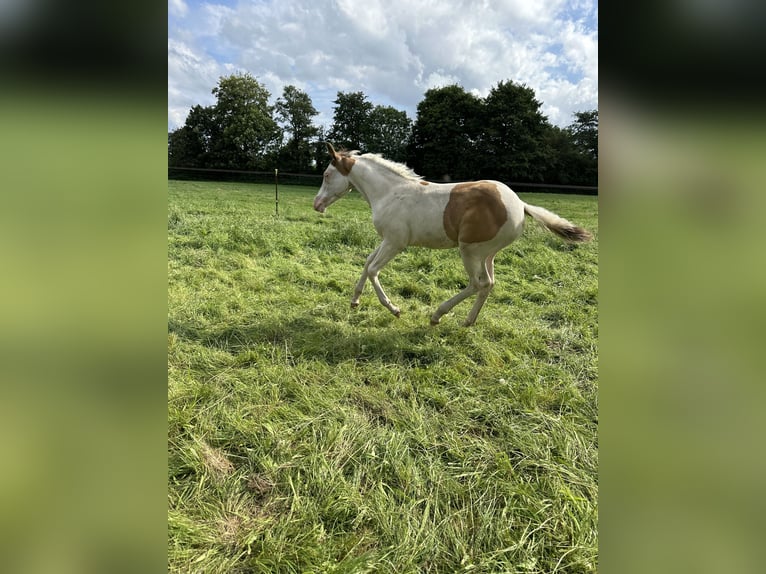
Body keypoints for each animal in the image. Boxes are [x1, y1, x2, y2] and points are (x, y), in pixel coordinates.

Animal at [312, 144, 592, 328]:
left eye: (326, 175)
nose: (317, 204)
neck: (390, 193)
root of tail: (520, 204)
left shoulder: (395, 243)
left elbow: (373, 270)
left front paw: (394, 309)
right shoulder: (387, 240)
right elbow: (367, 262)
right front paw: (355, 301)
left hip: (469, 250)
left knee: (477, 283)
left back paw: (437, 315)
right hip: (487, 254)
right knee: (488, 284)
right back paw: (468, 321)